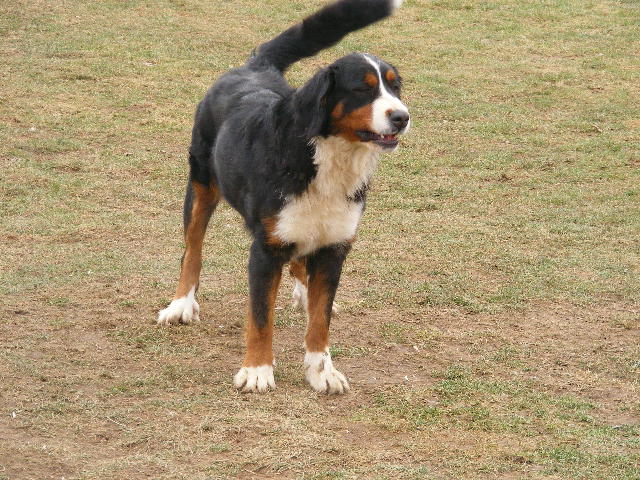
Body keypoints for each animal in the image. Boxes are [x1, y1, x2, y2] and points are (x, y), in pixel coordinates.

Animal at [158, 0, 412, 394]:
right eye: (363, 89)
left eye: (395, 87)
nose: (402, 117)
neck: (327, 160)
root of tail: (254, 66)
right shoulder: (266, 249)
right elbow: (261, 318)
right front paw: (257, 370)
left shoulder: (334, 246)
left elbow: (320, 322)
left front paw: (322, 371)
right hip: (201, 187)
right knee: (192, 250)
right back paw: (181, 304)